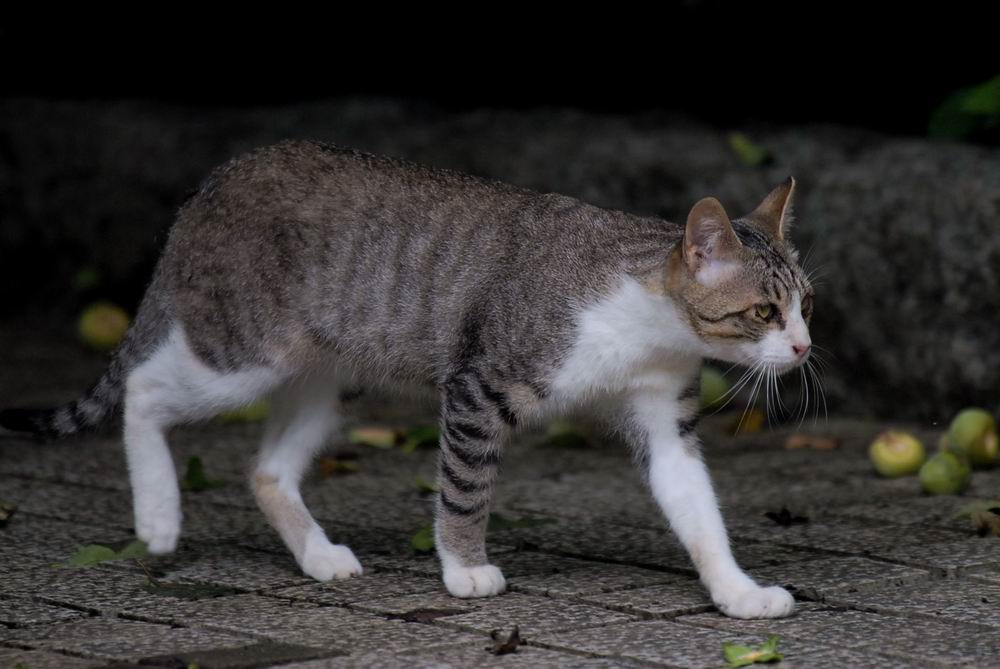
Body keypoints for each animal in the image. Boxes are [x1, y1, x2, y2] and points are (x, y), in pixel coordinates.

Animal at [0, 138, 812, 620]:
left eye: (807, 301)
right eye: (764, 311)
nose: (804, 347)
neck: (645, 323)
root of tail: (216, 178)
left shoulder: (664, 414)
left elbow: (697, 508)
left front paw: (739, 592)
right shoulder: (481, 388)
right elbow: (465, 490)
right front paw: (465, 569)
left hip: (327, 374)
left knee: (266, 469)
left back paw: (320, 555)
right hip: (245, 352)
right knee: (142, 390)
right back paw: (159, 515)